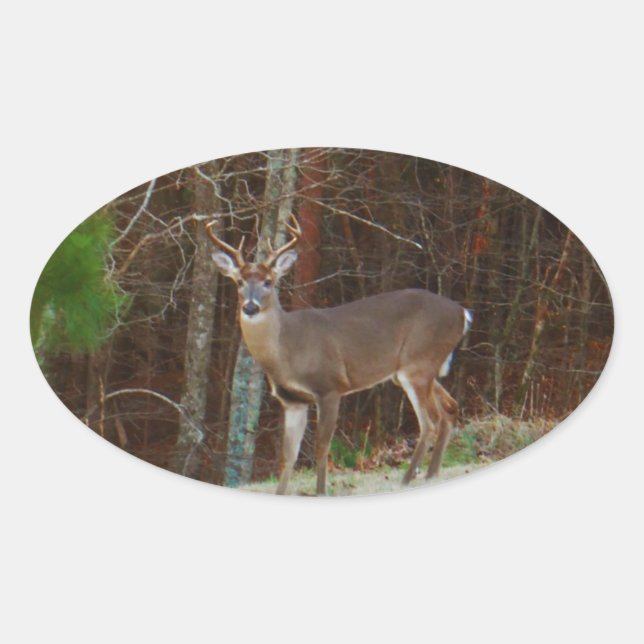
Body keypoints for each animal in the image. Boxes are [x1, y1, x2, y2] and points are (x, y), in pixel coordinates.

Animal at [208, 214, 472, 495]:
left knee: (430, 421)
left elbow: (321, 447)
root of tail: (462, 313)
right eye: (239, 282)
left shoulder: (329, 386)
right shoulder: (293, 400)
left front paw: (321, 491)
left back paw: (407, 479)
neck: (286, 351)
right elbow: (288, 455)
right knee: (449, 409)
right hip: (417, 370)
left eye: (268, 282)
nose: (250, 307)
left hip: (417, 363)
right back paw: (431, 475)